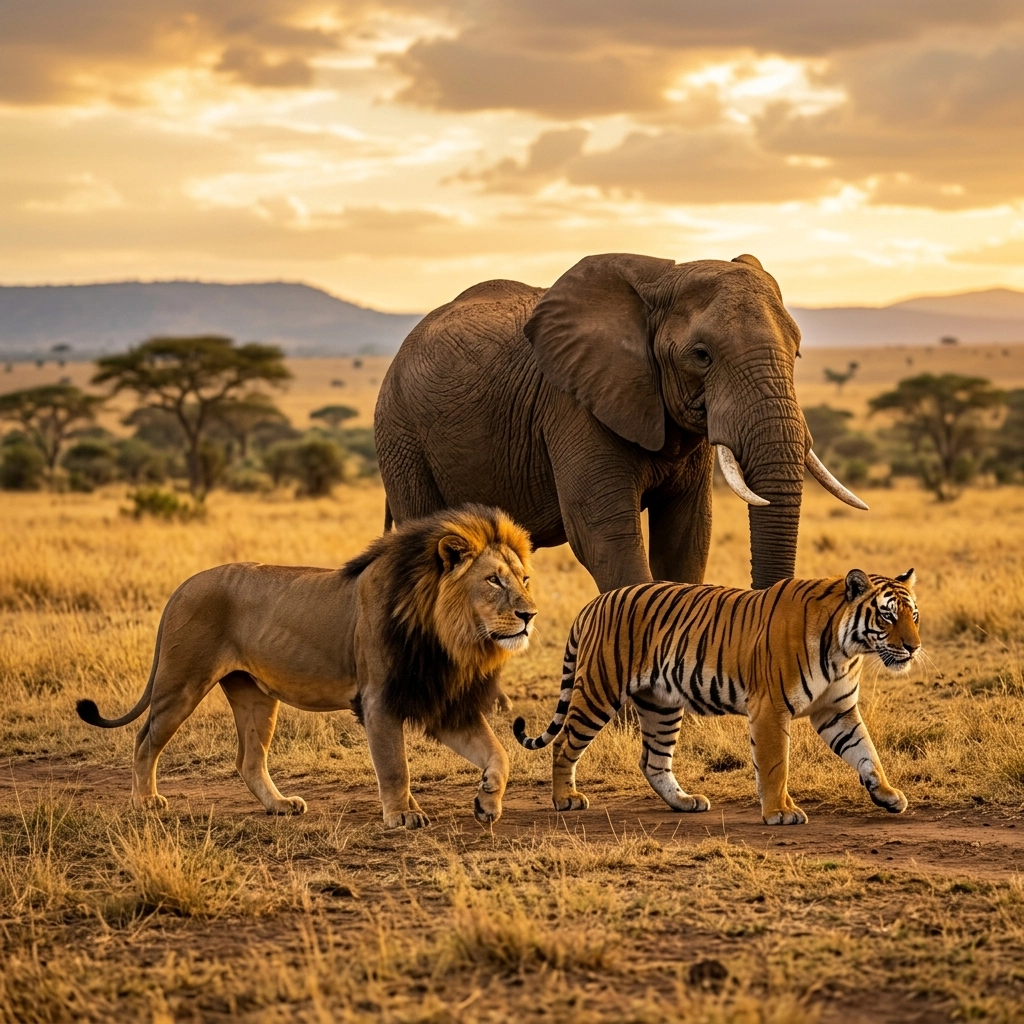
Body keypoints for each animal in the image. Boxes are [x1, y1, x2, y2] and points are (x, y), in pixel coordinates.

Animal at [76, 504, 536, 829]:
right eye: (493, 580)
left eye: (524, 579)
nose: (530, 614)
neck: (446, 635)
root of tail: (184, 584)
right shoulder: (379, 701)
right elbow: (395, 766)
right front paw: (402, 815)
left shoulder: (440, 702)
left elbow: (498, 754)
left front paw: (487, 801)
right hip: (182, 683)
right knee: (144, 740)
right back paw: (145, 802)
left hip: (255, 698)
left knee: (248, 760)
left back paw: (279, 805)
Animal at [374, 253, 866, 592]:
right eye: (701, 356)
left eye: (797, 351)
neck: (661, 279)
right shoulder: (573, 406)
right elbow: (606, 537)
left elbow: (687, 537)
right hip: (400, 436)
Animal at [513, 568, 920, 825]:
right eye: (887, 616)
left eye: (913, 615)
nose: (914, 648)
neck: (846, 650)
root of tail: (592, 604)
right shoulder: (770, 709)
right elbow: (776, 765)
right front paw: (779, 812)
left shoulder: (838, 711)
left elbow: (867, 753)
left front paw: (887, 794)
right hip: (599, 691)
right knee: (564, 742)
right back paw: (565, 799)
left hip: (661, 705)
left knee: (653, 760)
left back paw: (684, 802)